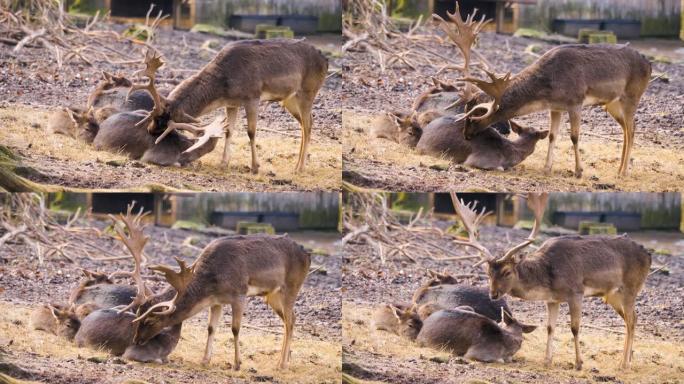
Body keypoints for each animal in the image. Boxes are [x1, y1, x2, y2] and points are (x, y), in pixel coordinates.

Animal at [132, 40, 332, 174]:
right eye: (153, 115)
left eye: (164, 119)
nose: (150, 130)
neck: (224, 86)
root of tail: (326, 61)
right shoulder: (232, 103)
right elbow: (229, 131)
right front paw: (223, 163)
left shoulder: (252, 96)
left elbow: (251, 132)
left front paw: (255, 167)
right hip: (290, 99)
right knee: (305, 124)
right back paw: (298, 164)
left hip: (308, 91)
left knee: (308, 124)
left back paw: (300, 168)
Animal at [448, 194, 652, 370]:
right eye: (488, 272)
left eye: (507, 271)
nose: (493, 294)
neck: (549, 280)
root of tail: (649, 255)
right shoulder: (552, 300)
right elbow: (549, 327)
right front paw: (547, 360)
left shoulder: (576, 292)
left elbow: (574, 328)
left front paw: (578, 363)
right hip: (612, 295)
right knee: (632, 318)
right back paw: (627, 359)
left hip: (631, 287)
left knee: (631, 320)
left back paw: (624, 364)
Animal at [454, 44, 652, 178]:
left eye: (474, 117)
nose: (465, 134)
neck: (548, 89)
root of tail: (649, 64)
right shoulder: (556, 107)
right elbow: (552, 135)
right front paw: (546, 168)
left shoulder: (575, 101)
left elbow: (574, 136)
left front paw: (578, 171)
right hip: (612, 103)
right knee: (626, 130)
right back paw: (619, 169)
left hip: (632, 96)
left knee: (632, 130)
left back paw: (624, 172)